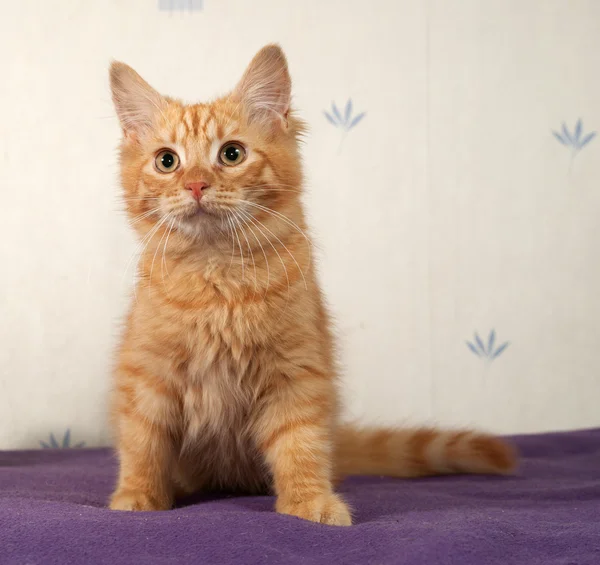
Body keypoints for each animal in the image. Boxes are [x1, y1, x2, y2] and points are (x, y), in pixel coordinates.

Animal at [108, 44, 516, 524]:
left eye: (231, 154)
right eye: (167, 161)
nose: (195, 185)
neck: (219, 278)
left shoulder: (297, 372)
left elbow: (299, 445)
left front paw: (309, 502)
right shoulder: (147, 374)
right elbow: (143, 445)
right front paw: (138, 498)